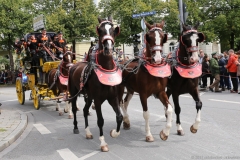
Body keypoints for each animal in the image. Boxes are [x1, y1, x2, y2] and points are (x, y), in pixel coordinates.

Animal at [67, 16, 122, 152]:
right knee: (75, 108)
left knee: (85, 110)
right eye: (100, 31)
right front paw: (103, 143)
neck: (106, 69)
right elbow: (100, 120)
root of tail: (73, 66)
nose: (108, 48)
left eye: (113, 30)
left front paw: (114, 133)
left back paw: (87, 132)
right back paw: (76, 127)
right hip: (75, 93)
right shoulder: (97, 100)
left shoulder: (113, 98)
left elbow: (119, 117)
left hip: (89, 97)